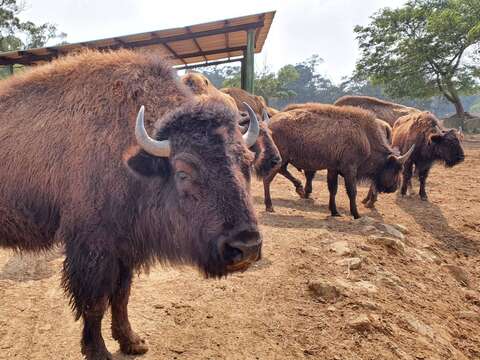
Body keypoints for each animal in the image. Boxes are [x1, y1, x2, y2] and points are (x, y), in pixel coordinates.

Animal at [0, 50, 262, 360]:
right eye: (183, 172)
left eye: (247, 162)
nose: (246, 247)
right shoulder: (93, 247)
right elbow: (95, 302)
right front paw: (99, 352)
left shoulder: (125, 247)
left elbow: (121, 295)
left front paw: (133, 342)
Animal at [264, 102, 414, 218]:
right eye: (395, 169)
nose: (394, 188)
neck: (365, 138)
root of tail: (269, 124)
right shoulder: (350, 170)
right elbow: (352, 192)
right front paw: (356, 214)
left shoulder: (333, 169)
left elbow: (333, 189)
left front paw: (335, 212)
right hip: (280, 160)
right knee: (268, 179)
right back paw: (270, 206)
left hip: (283, 160)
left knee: (280, 173)